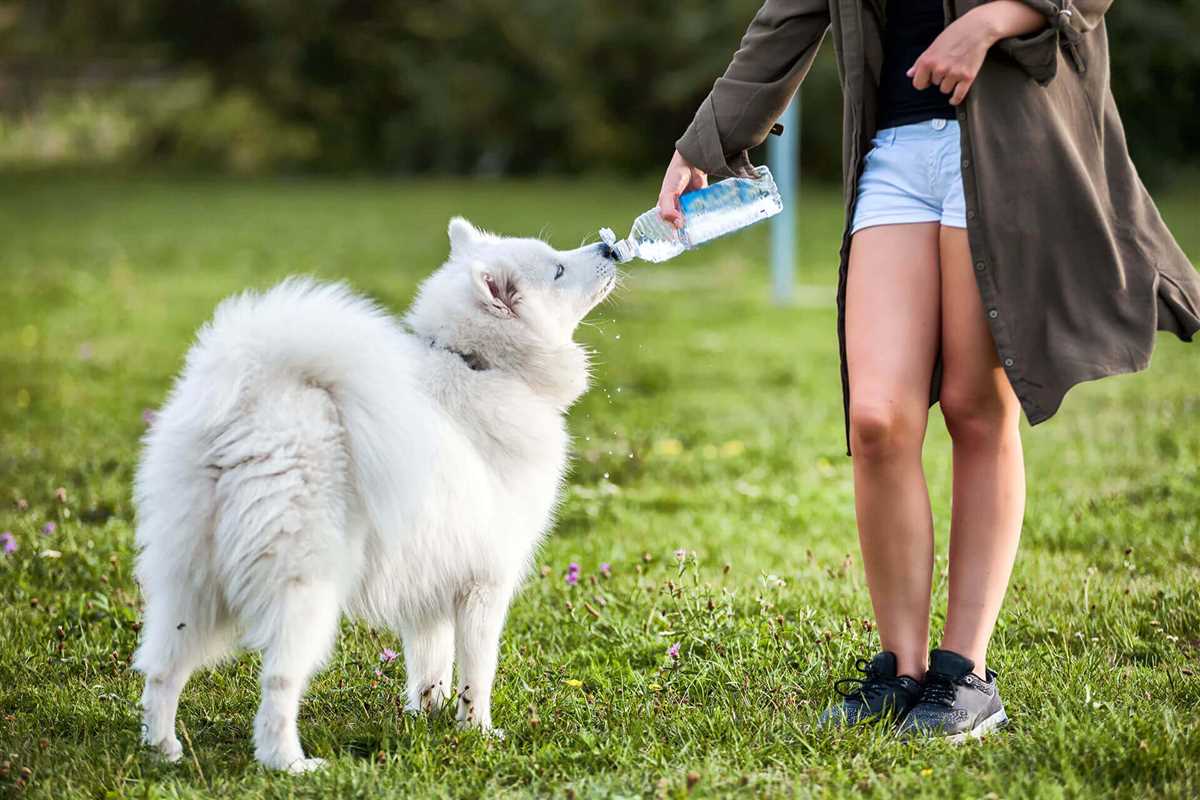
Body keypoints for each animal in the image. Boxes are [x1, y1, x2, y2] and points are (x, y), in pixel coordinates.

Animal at [136, 217, 614, 767]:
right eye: (558, 269)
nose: (610, 247)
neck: (477, 363)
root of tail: (257, 404)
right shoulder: (484, 585)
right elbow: (477, 672)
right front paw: (477, 731)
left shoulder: (431, 580)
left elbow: (431, 663)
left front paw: (428, 718)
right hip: (304, 588)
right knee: (278, 681)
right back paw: (290, 763)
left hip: (190, 581)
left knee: (162, 668)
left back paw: (163, 750)